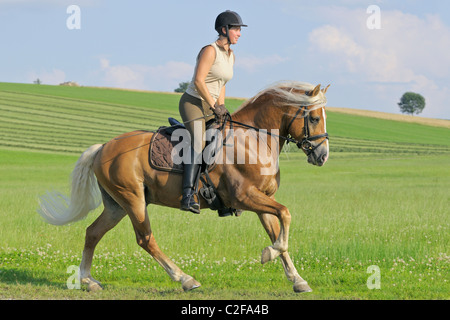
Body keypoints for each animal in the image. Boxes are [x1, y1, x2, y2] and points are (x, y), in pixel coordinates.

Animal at [37, 80, 328, 292]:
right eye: (314, 118)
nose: (322, 155)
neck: (252, 140)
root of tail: (103, 147)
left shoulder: (262, 199)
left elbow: (277, 230)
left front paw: (297, 280)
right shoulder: (244, 196)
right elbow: (286, 215)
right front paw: (269, 254)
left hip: (116, 206)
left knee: (92, 233)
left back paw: (88, 281)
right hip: (133, 200)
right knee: (146, 239)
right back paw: (186, 279)